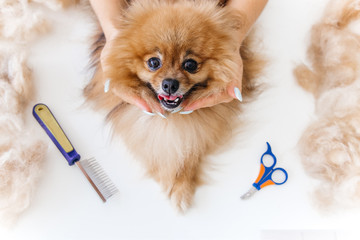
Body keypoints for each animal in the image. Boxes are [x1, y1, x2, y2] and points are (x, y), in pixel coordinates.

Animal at [86, 0, 262, 211]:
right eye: (154, 62)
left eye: (190, 65)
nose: (169, 84)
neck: (172, 118)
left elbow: (189, 149)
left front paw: (181, 187)